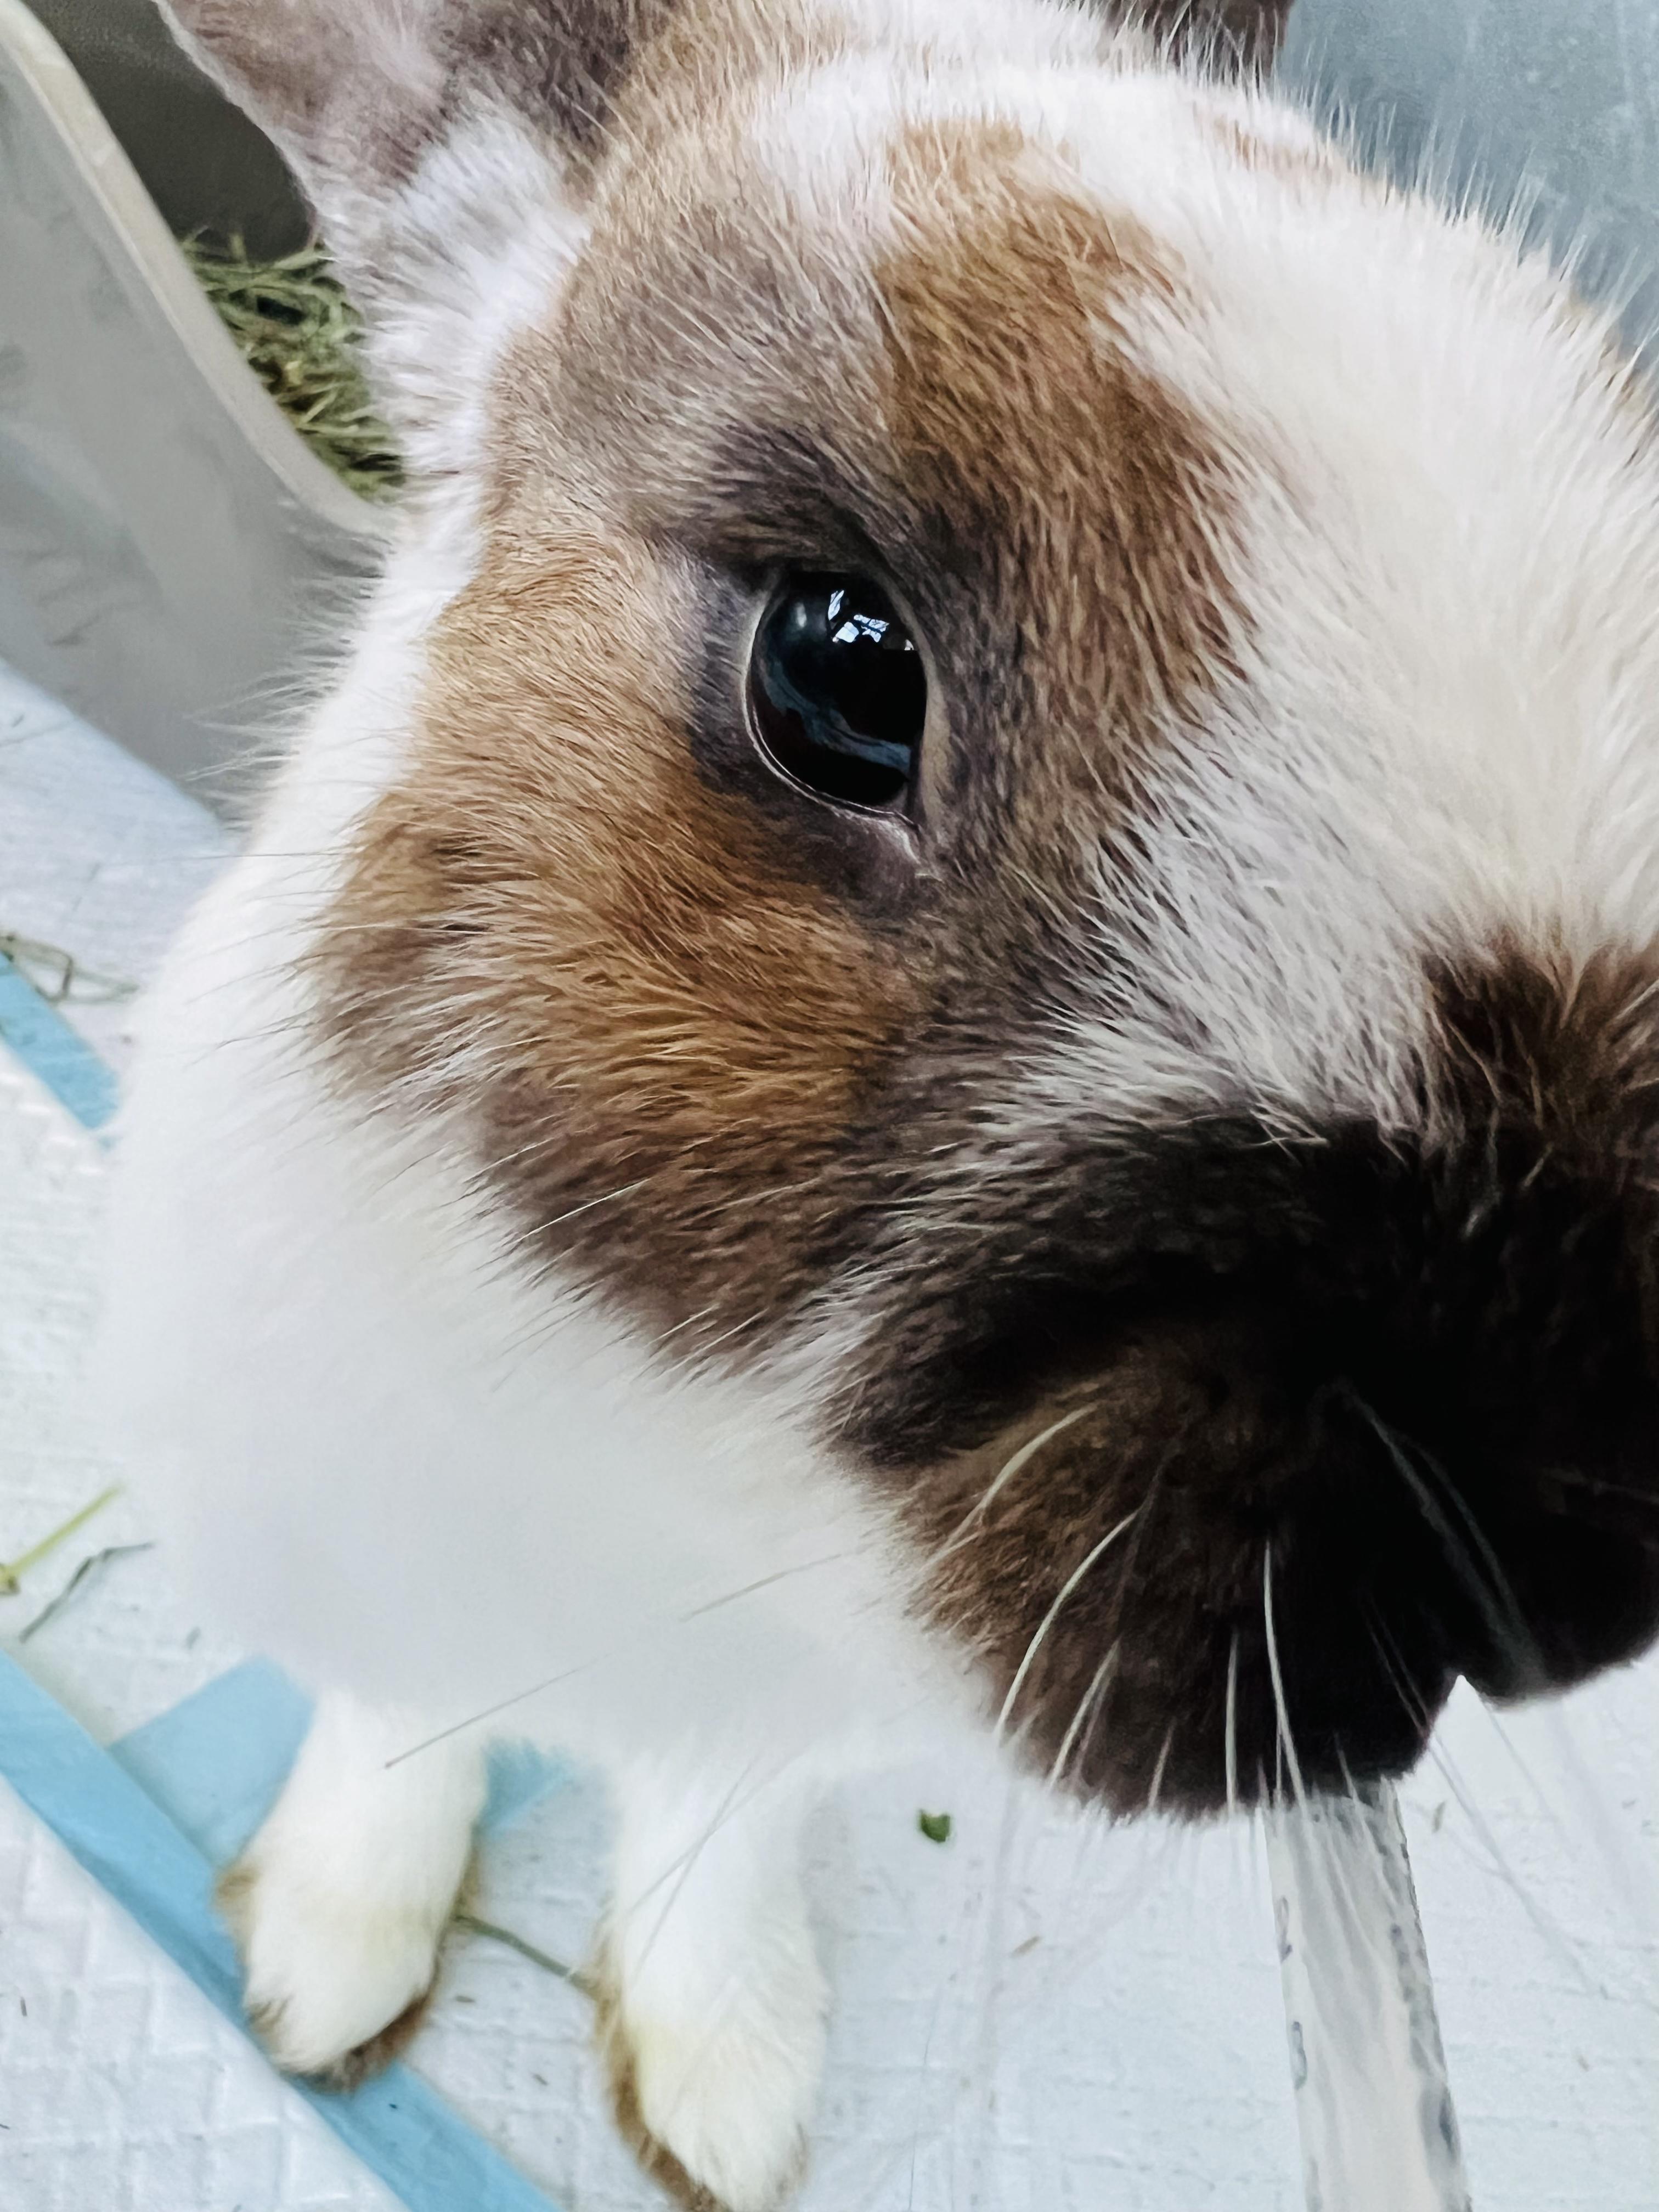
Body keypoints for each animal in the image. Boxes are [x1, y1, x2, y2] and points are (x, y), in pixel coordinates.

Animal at [103, 0, 1659, 2205]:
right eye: (840, 673)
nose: (1563, 1591)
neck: (703, 1467)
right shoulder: (355, 1572)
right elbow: (397, 1736)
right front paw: (326, 1968)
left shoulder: (777, 1735)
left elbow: (709, 1824)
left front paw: (725, 2091)